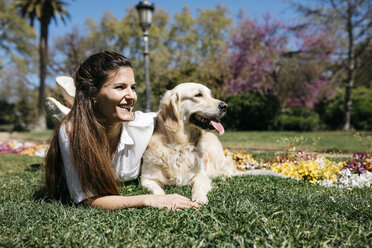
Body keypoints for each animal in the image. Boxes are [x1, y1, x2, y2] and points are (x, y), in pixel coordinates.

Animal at [140, 83, 282, 203]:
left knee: (229, 171)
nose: (225, 106)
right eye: (198, 95)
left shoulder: (200, 174)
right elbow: (157, 190)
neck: (180, 146)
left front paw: (200, 198)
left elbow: (198, 186)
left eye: (210, 94)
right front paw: (162, 198)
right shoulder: (147, 179)